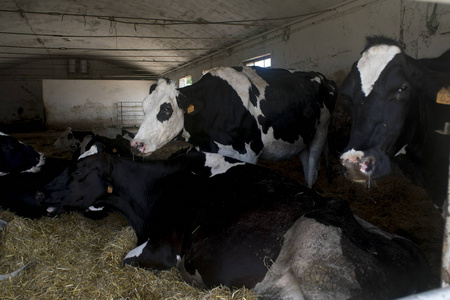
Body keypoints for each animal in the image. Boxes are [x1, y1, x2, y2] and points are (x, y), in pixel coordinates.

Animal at [129, 66, 334, 188]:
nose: (136, 144)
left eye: (166, 109)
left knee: (312, 169)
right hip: (303, 138)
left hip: (321, 132)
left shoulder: (249, 153)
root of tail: (322, 77)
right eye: (143, 107)